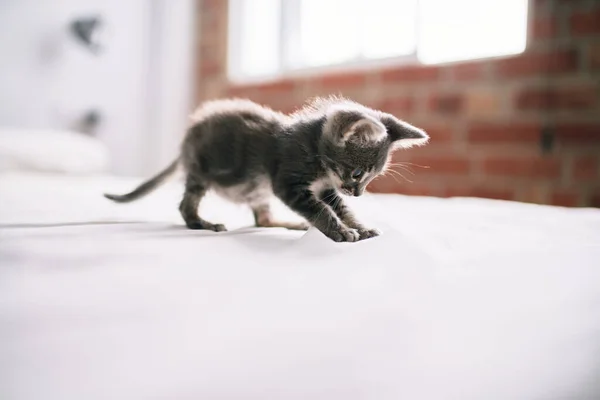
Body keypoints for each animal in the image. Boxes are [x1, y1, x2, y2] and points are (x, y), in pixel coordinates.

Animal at [105, 95, 428, 242]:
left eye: (372, 178)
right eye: (359, 173)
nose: (358, 193)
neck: (317, 156)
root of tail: (188, 138)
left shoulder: (328, 188)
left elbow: (342, 208)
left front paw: (359, 226)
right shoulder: (288, 182)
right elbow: (322, 210)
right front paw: (341, 232)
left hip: (256, 190)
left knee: (262, 219)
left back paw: (289, 224)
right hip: (202, 170)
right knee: (186, 205)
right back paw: (202, 223)